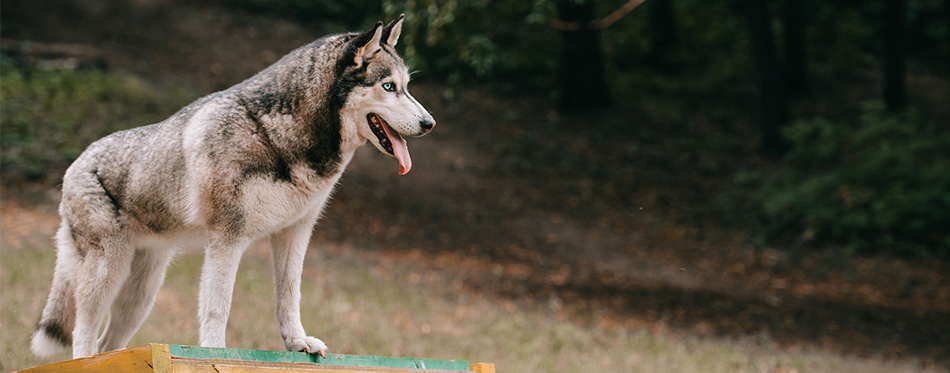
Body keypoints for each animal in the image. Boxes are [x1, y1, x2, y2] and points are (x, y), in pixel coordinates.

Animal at [28, 16, 432, 358]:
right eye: (389, 87)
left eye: (407, 88)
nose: (429, 123)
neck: (282, 136)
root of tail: (75, 163)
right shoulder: (227, 239)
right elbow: (218, 307)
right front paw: (214, 352)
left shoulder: (294, 235)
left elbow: (289, 296)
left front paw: (298, 342)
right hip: (106, 273)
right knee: (83, 338)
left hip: (141, 294)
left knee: (107, 345)